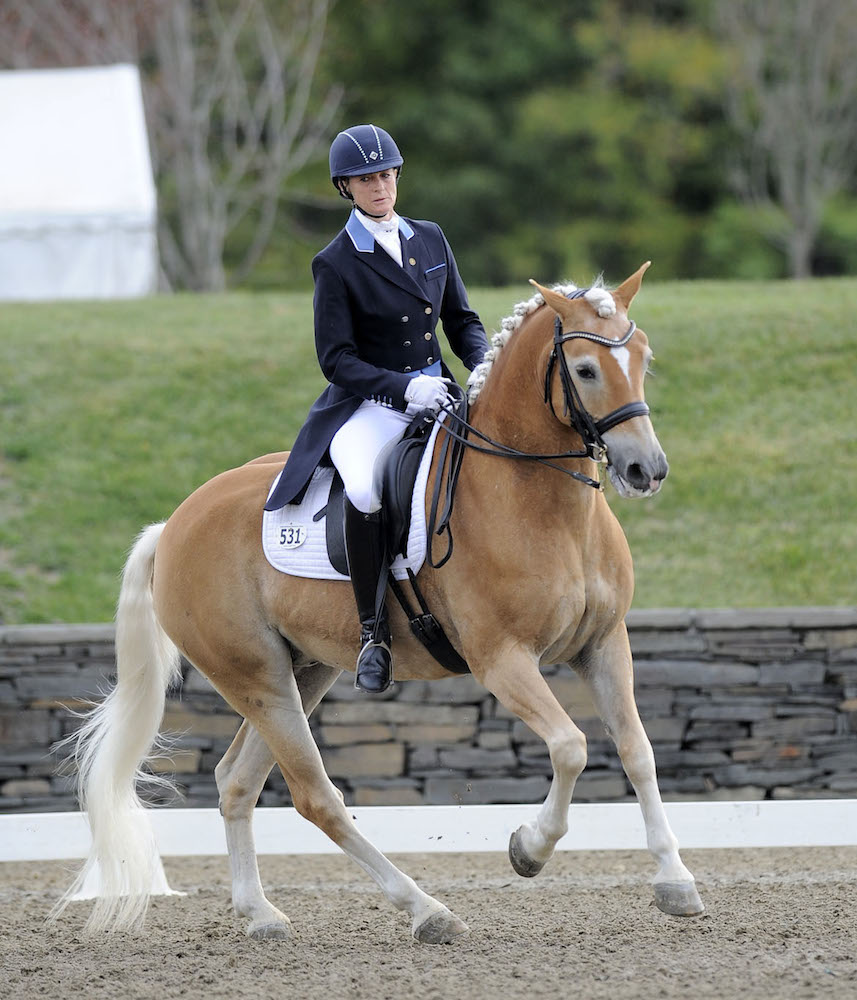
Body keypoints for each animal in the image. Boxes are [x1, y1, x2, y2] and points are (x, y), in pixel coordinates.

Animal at [56, 262, 704, 940]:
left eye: (643, 356)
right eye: (584, 370)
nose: (647, 469)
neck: (540, 501)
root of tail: (174, 524)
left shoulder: (604, 643)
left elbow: (637, 752)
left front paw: (675, 881)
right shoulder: (501, 659)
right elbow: (571, 748)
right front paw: (529, 847)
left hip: (303, 671)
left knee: (236, 781)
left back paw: (260, 913)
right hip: (256, 677)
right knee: (316, 796)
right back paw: (427, 910)